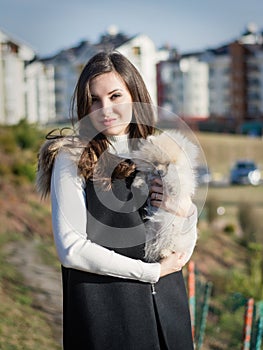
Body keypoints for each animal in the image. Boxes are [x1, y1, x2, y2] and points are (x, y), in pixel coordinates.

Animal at [133, 131, 199, 262]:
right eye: (155, 163)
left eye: (168, 164)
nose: (159, 171)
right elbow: (144, 175)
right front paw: (138, 182)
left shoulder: (182, 182)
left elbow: (175, 180)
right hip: (150, 231)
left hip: (173, 233)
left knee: (171, 246)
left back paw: (165, 252)